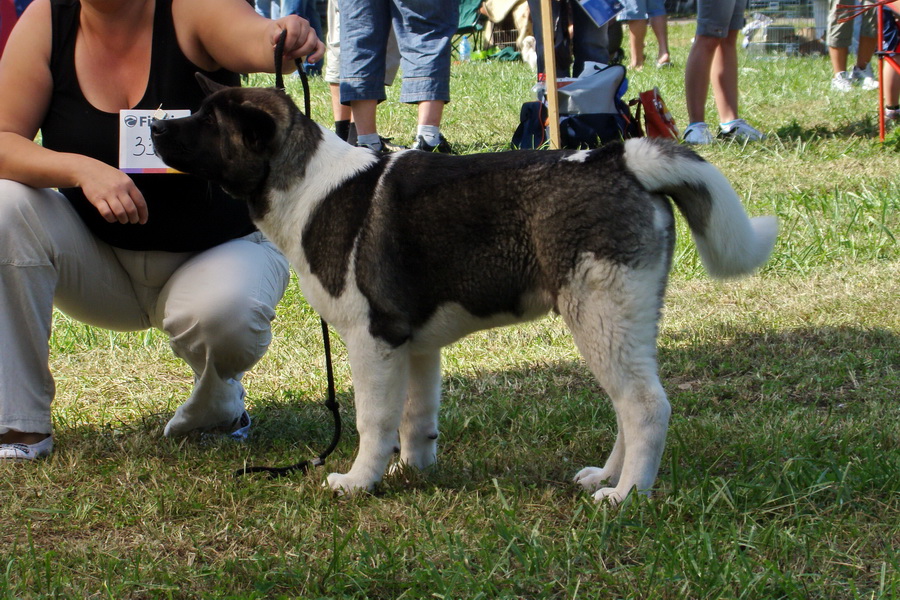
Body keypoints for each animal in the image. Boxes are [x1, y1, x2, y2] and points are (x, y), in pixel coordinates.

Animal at [151, 76, 776, 506]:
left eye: (207, 122)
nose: (154, 127)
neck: (306, 183)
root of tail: (619, 157)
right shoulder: (414, 345)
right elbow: (415, 416)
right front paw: (412, 472)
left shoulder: (373, 339)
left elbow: (373, 420)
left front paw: (358, 481)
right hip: (620, 320)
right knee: (629, 404)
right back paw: (607, 475)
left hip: (601, 315)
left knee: (645, 406)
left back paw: (626, 495)